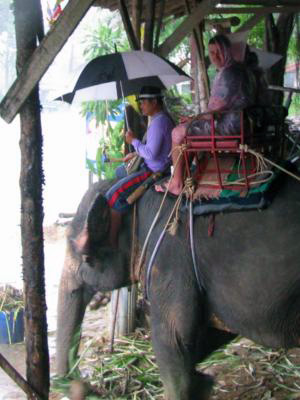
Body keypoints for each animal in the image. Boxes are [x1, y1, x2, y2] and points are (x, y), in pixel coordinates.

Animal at [56, 173, 300, 400]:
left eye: (85, 257)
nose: (80, 386)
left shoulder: (169, 260)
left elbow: (171, 341)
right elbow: (206, 335)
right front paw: (202, 383)